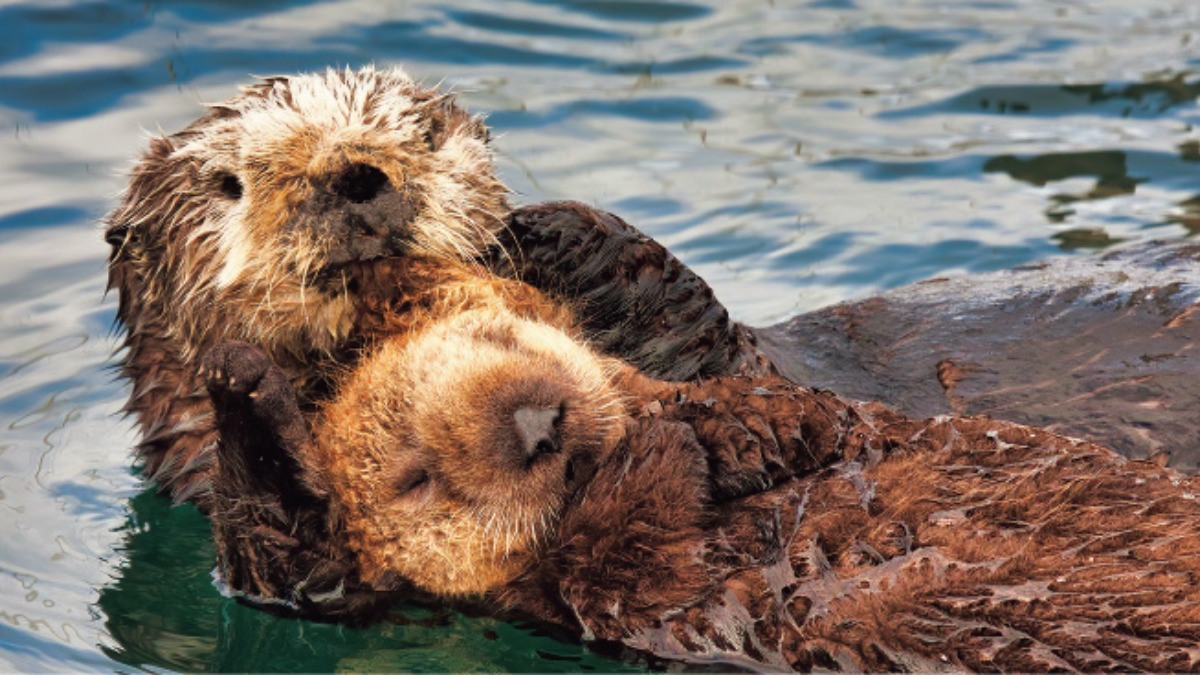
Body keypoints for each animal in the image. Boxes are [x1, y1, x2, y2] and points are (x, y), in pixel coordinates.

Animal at [211, 266, 1200, 667]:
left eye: (499, 338)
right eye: (417, 478)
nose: (536, 421)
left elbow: (808, 409)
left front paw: (745, 426)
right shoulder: (623, 594)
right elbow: (626, 542)